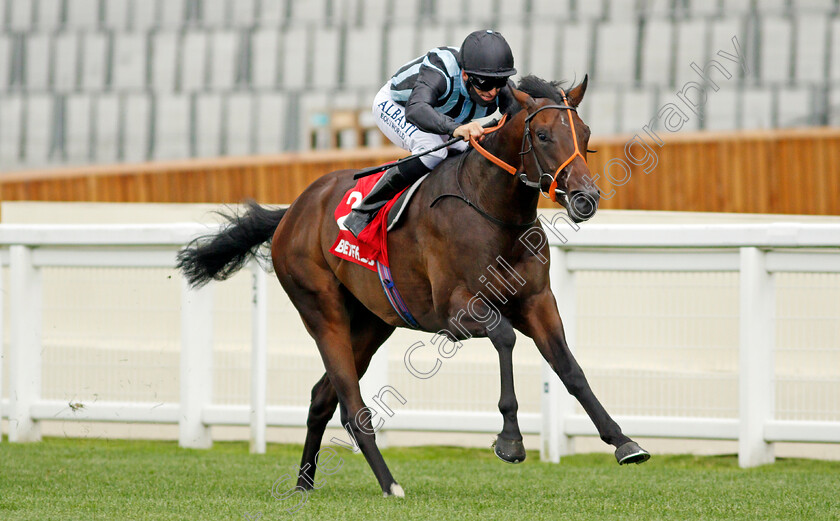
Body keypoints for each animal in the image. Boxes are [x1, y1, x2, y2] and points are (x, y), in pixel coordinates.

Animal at [177, 73, 648, 496]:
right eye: (545, 135)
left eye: (585, 134)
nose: (586, 198)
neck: (492, 209)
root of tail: (292, 211)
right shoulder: (455, 312)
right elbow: (505, 337)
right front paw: (510, 440)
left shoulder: (537, 301)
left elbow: (570, 369)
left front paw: (624, 442)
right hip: (321, 310)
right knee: (352, 406)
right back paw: (390, 484)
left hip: (371, 323)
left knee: (321, 398)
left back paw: (304, 484)